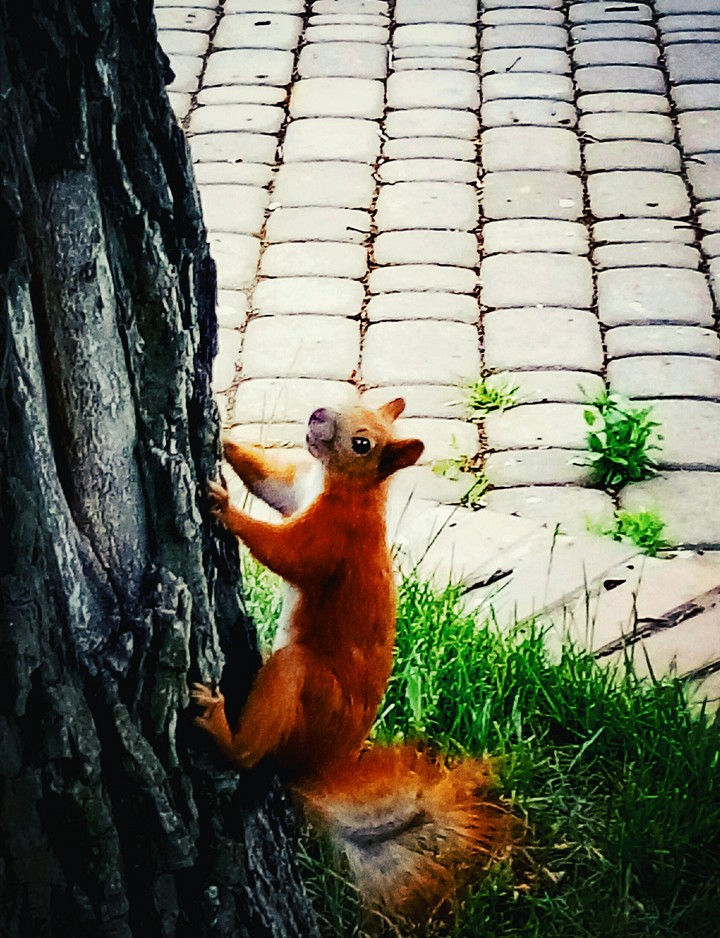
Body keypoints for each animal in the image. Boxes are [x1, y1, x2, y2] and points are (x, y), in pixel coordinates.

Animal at [192, 398, 514, 922]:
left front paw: (225, 508)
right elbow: (269, 479)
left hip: (310, 693)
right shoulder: (297, 489)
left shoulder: (331, 540)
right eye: (349, 402)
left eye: (362, 443)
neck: (351, 490)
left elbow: (286, 553)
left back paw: (221, 728)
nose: (319, 413)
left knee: (252, 747)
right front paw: (223, 432)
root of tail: (320, 776)